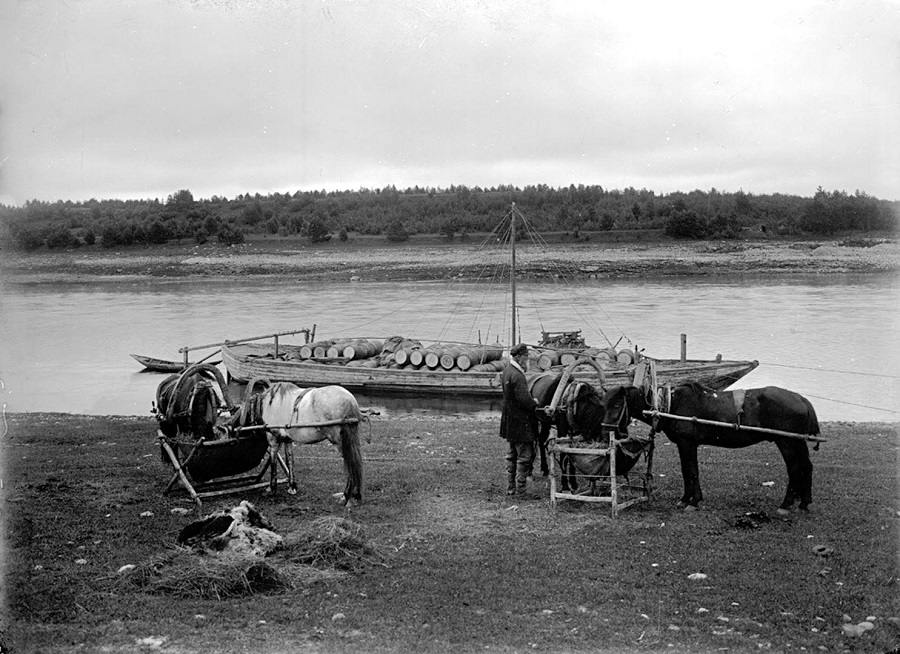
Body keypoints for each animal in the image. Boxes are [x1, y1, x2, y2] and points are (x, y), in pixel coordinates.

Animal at [237, 382, 368, 504]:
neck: (269, 404)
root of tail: (349, 401)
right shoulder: (287, 440)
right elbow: (290, 461)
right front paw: (292, 486)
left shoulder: (273, 440)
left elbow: (273, 463)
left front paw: (272, 489)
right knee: (356, 463)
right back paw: (355, 494)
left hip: (340, 443)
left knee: (350, 464)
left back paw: (346, 495)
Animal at [604, 382, 824, 516]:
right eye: (605, 404)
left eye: (616, 406)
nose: (606, 428)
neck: (672, 404)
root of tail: (801, 399)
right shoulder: (684, 444)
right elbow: (686, 471)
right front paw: (686, 499)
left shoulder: (687, 443)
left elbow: (691, 471)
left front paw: (693, 501)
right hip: (797, 442)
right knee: (806, 467)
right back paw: (804, 502)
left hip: (787, 442)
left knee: (795, 469)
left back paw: (786, 504)